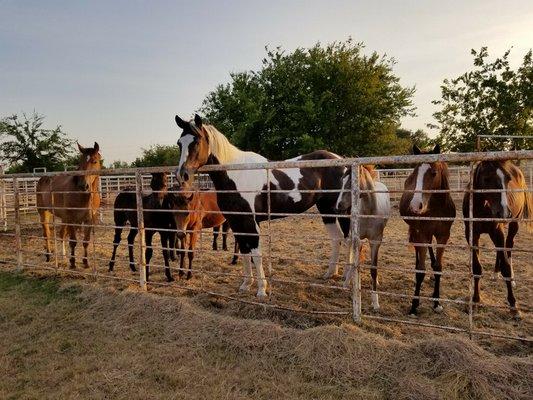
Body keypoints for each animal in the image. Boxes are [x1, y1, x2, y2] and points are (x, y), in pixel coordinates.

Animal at [175, 114, 348, 298]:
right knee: (336, 237)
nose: (182, 175)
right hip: (326, 210)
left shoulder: (250, 222)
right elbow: (244, 252)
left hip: (342, 211)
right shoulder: (236, 222)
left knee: (349, 239)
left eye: (196, 141)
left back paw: (347, 280)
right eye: (179, 143)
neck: (236, 175)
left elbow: (256, 254)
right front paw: (245, 284)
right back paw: (330, 274)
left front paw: (261, 290)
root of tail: (341, 161)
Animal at [332, 164, 390, 310]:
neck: (370, 210)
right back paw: (346, 282)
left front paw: (375, 302)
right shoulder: (357, 239)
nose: (337, 206)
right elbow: (355, 264)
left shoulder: (376, 241)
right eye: (342, 181)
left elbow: (373, 269)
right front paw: (355, 293)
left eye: (351, 183)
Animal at [396, 144, 456, 316]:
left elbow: (438, 268)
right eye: (416, 174)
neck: (436, 208)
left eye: (434, 173)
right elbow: (420, 271)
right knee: (418, 251)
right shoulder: (421, 234)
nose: (415, 206)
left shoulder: (443, 236)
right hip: (416, 231)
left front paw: (436, 302)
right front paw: (414, 306)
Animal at [462, 159, 532, 318]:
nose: (504, 212)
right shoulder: (472, 235)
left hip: (514, 224)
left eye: (508, 178)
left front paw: (513, 306)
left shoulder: (497, 232)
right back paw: (495, 273)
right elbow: (477, 268)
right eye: (487, 179)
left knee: (509, 246)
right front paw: (476, 301)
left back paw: (512, 279)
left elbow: (506, 267)